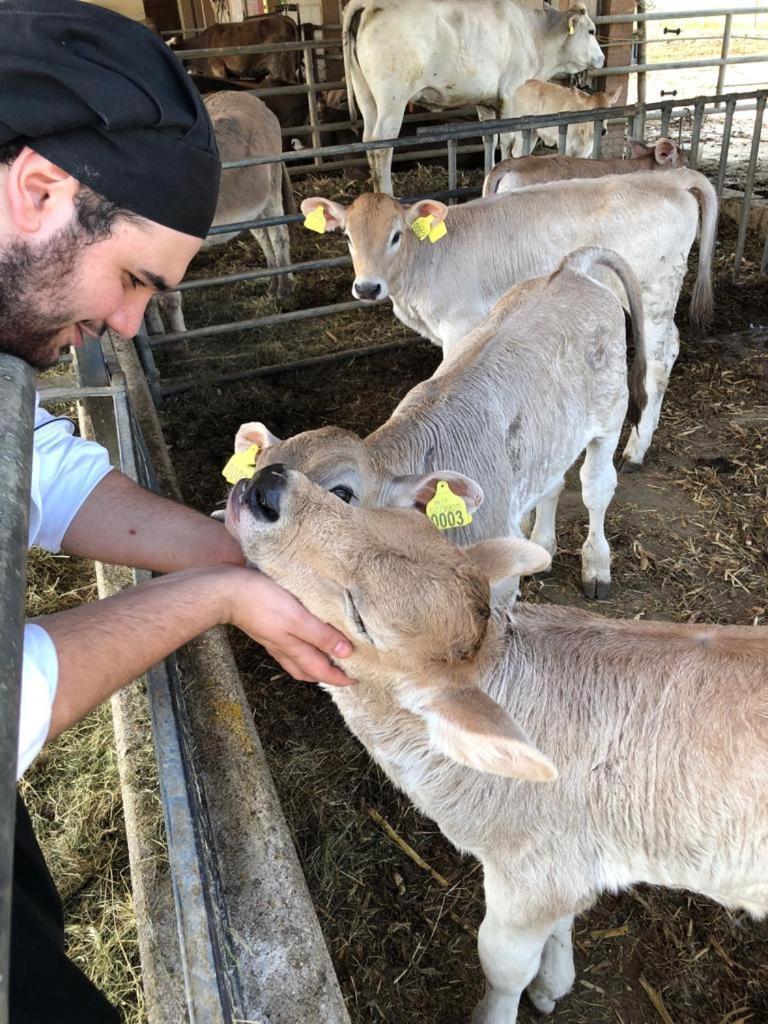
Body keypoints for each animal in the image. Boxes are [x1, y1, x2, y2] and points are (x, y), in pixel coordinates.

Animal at [228, 466, 768, 1024]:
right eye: (368, 511)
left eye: (361, 619)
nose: (267, 487)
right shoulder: (569, 865)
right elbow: (564, 920)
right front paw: (554, 981)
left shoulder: (532, 872)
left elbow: (503, 966)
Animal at [301, 167, 716, 468]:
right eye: (348, 238)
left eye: (396, 236)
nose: (367, 287)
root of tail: (668, 177)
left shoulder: (460, 325)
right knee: (671, 344)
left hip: (653, 290)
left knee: (657, 360)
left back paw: (636, 449)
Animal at [344, 0, 606, 194]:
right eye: (591, 31)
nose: (602, 58)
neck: (535, 34)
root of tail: (369, 4)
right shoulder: (511, 95)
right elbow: (509, 140)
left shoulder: (486, 102)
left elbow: (489, 138)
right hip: (392, 99)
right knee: (382, 145)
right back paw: (388, 195)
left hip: (366, 97)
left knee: (368, 141)